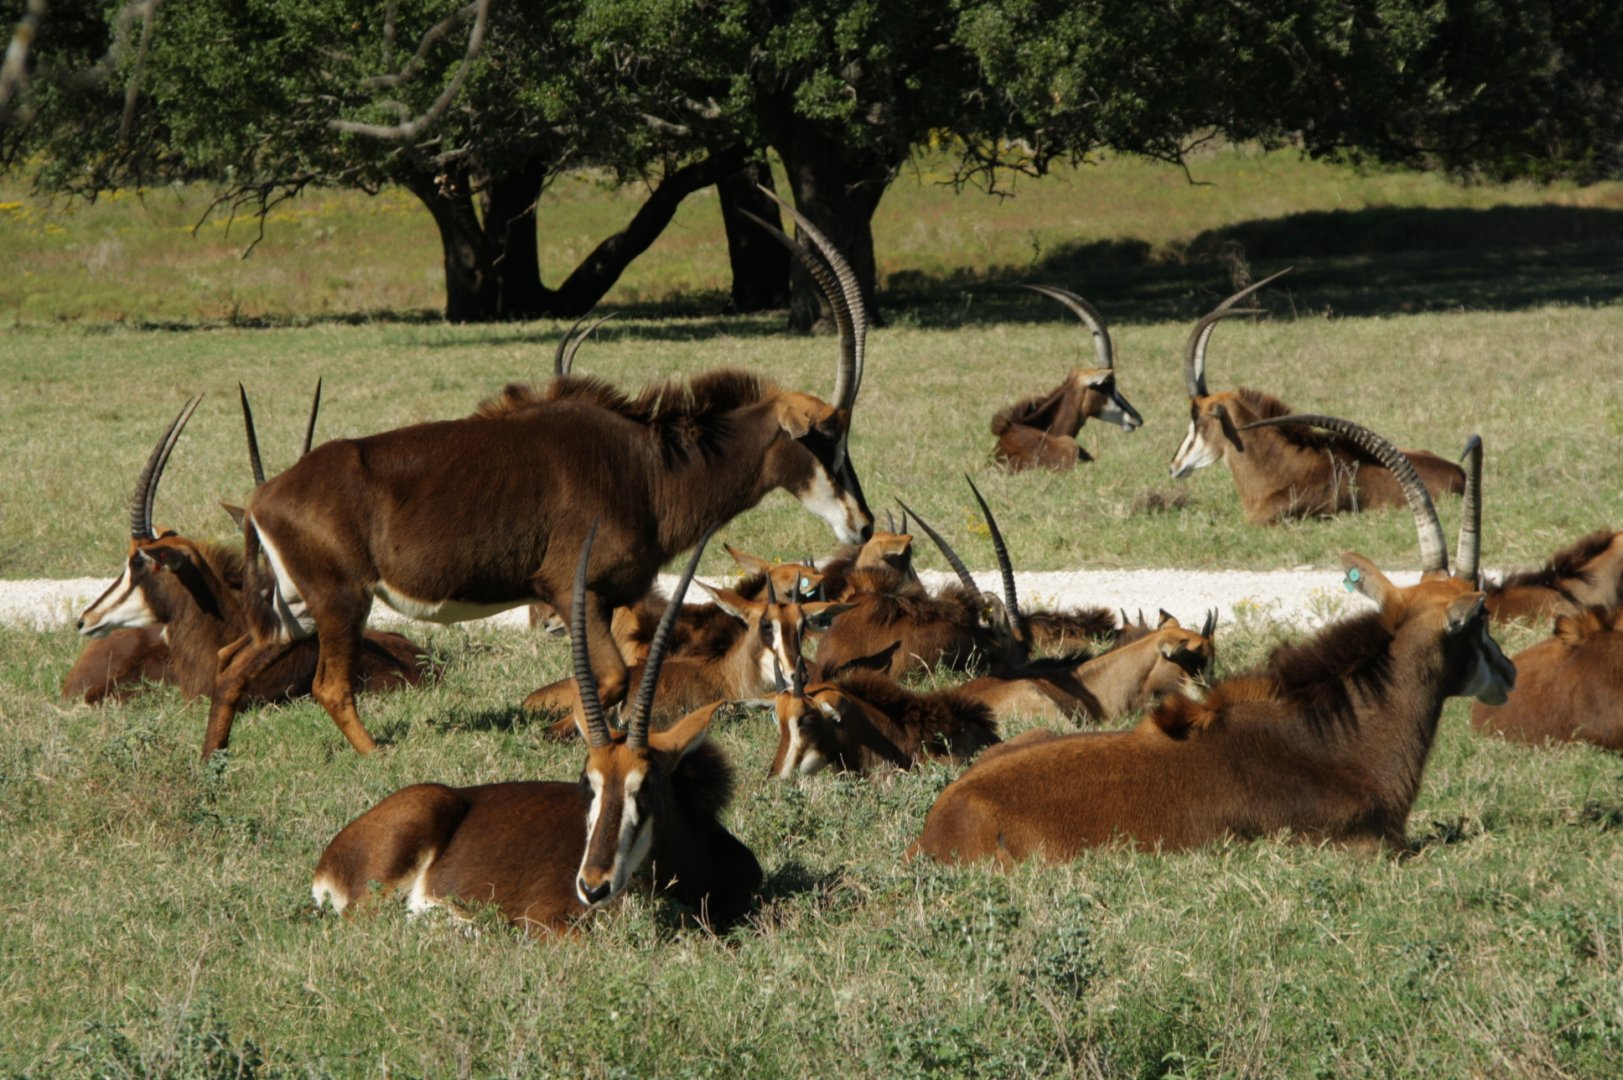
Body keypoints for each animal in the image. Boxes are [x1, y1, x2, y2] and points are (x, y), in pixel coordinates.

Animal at [204, 188, 875, 760]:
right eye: (826, 435)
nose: (864, 525)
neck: (647, 467)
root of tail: (264, 499)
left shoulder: (607, 600)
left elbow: (619, 678)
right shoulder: (572, 590)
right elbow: (610, 679)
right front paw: (567, 734)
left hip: (294, 605)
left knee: (233, 658)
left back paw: (215, 756)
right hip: (343, 600)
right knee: (328, 685)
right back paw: (375, 757)